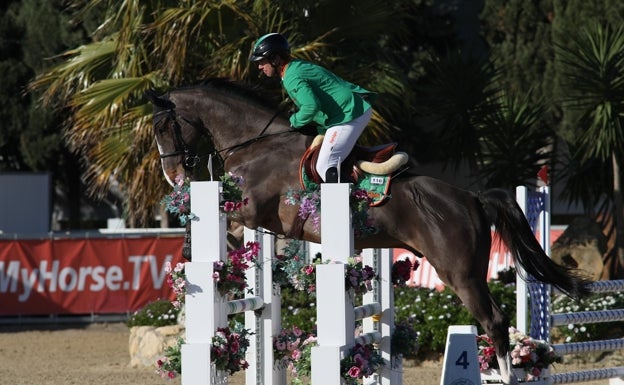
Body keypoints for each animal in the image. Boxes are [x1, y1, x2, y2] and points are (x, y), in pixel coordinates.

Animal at [149, 78, 592, 384]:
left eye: (162, 128)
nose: (172, 176)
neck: (256, 145)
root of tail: (471, 197)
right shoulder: (258, 220)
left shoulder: (253, 210)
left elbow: (214, 224)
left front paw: (193, 252)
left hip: (461, 274)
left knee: (495, 322)